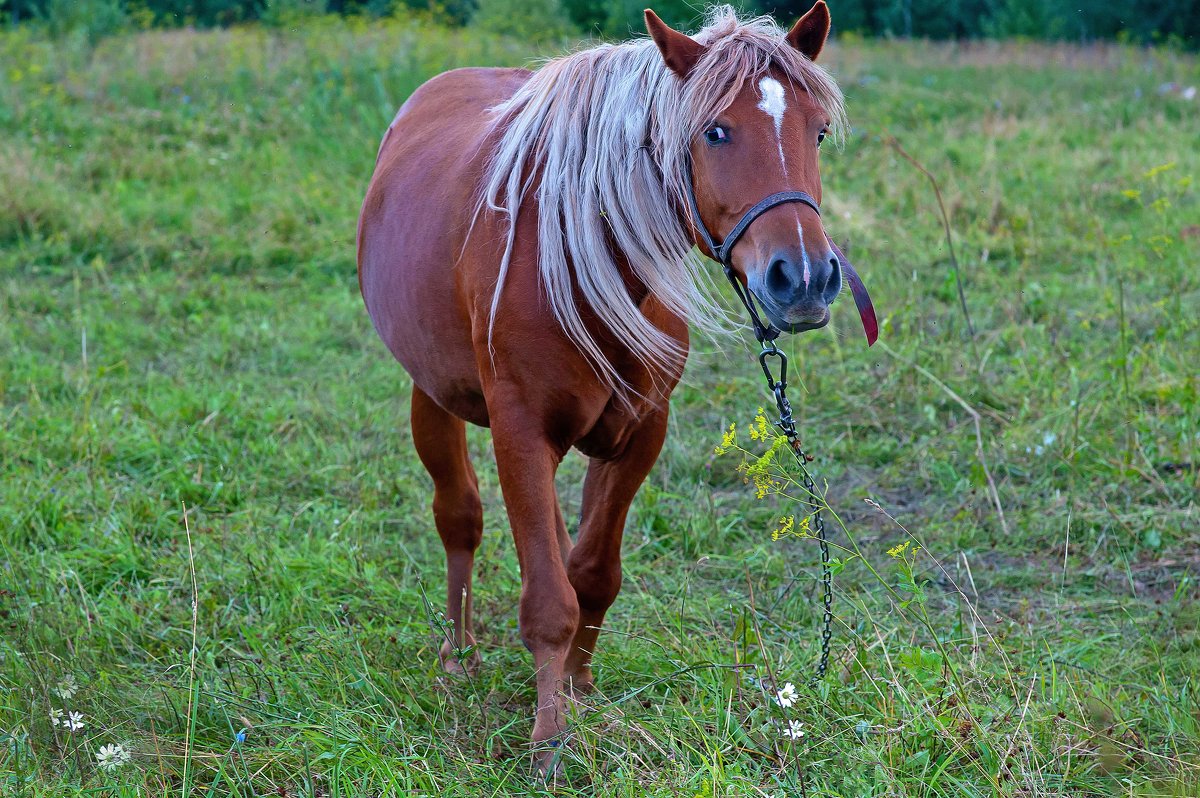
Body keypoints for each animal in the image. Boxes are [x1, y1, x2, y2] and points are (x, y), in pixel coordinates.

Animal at [352, 1, 873, 772]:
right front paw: (549, 737)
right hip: (433, 396)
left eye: (819, 131)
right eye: (715, 131)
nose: (803, 278)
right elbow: (548, 600)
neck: (579, 254)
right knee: (460, 519)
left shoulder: (639, 431)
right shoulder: (520, 431)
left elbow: (592, 573)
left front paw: (581, 691)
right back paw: (457, 657)